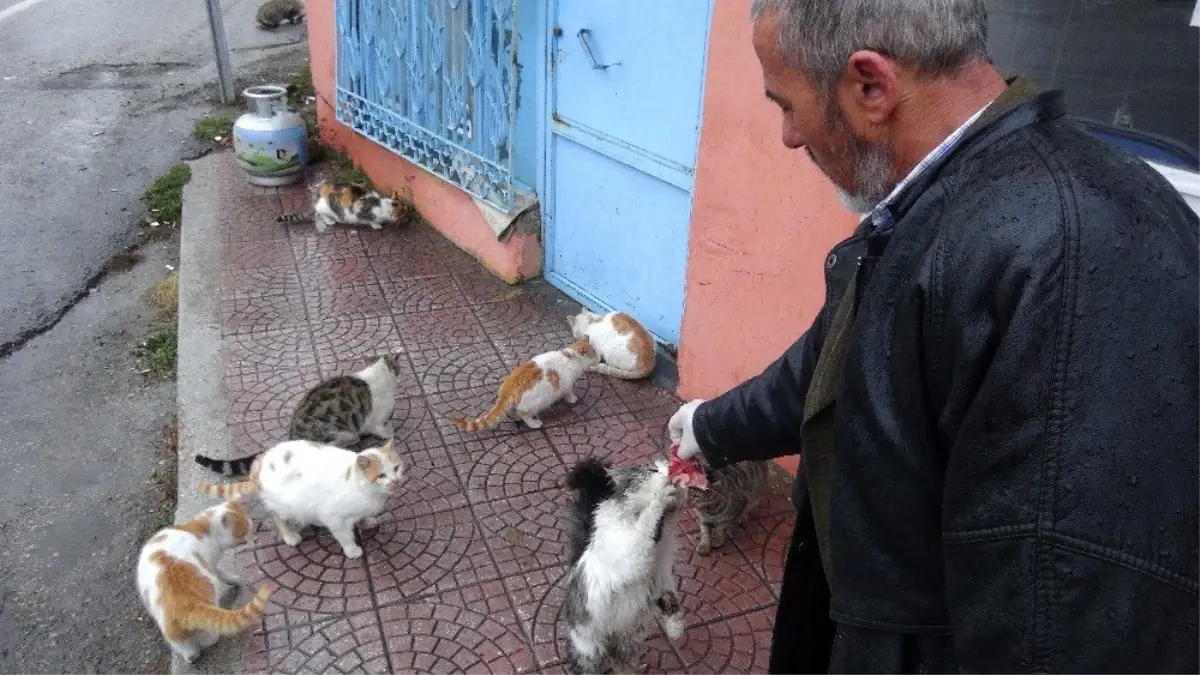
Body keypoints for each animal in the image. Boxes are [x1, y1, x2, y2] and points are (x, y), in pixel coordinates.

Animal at [137, 499, 273, 662]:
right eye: (245, 530)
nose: (253, 535)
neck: (201, 528)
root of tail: (186, 603)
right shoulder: (211, 564)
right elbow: (222, 573)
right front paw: (235, 579)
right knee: (209, 638)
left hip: (172, 633)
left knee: (188, 650)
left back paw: (192, 657)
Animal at [192, 355, 403, 475]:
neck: (376, 375)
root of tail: (293, 437)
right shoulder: (375, 419)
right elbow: (382, 429)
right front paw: (390, 432)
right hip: (339, 432)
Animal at [196, 437, 403, 557]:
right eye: (381, 476)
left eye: (396, 468)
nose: (395, 482)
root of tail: (258, 463)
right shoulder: (334, 518)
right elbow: (345, 536)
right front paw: (353, 551)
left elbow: (361, 518)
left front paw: (365, 522)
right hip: (284, 505)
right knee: (279, 519)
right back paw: (290, 537)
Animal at [451, 336, 600, 429]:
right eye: (594, 353)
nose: (599, 358)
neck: (571, 356)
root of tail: (509, 387)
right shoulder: (567, 384)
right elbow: (568, 392)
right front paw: (572, 399)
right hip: (535, 403)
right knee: (524, 415)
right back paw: (534, 424)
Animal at [561, 454, 686, 667]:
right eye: (653, 471)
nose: (672, 473)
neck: (660, 542)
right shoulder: (632, 551)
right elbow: (647, 521)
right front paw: (660, 498)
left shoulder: (660, 576)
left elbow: (670, 599)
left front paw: (676, 627)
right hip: (590, 649)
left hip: (626, 647)